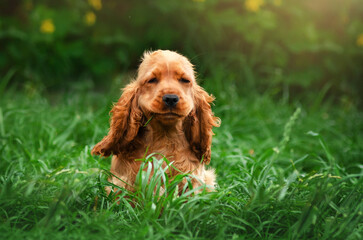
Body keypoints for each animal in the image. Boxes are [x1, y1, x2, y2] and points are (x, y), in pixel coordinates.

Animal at [92, 49, 220, 194]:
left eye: (185, 80)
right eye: (152, 80)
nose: (171, 98)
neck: (164, 137)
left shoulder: (194, 180)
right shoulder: (122, 182)